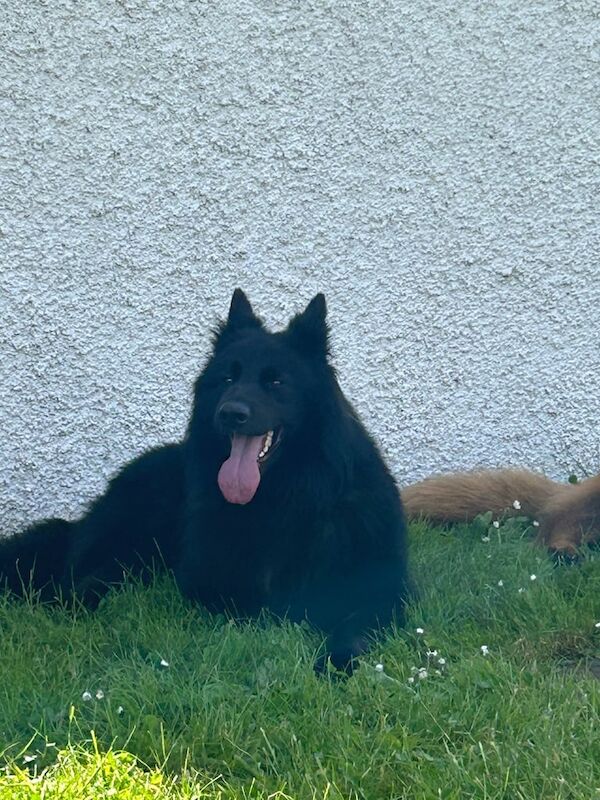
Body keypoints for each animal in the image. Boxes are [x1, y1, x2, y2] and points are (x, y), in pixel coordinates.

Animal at [0, 290, 410, 672]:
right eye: (228, 377)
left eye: (276, 381)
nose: (230, 413)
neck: (284, 498)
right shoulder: (215, 586)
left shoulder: (383, 590)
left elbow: (354, 628)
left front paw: (335, 662)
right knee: (79, 580)